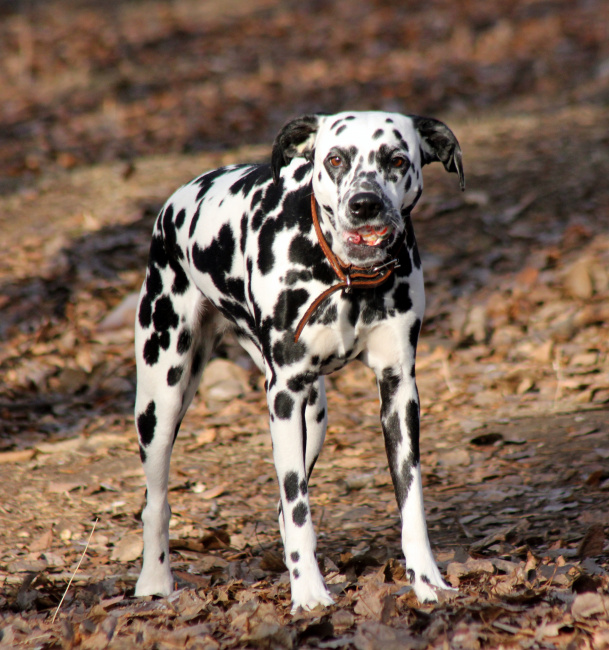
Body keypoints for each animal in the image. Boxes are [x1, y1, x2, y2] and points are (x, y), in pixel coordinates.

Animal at [134, 109, 466, 612]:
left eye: (396, 159)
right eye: (335, 159)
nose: (364, 204)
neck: (347, 277)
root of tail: (176, 202)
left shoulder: (399, 391)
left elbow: (410, 500)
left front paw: (427, 580)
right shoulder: (284, 395)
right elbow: (296, 504)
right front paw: (308, 592)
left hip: (313, 415)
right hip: (162, 400)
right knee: (156, 502)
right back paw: (154, 582)